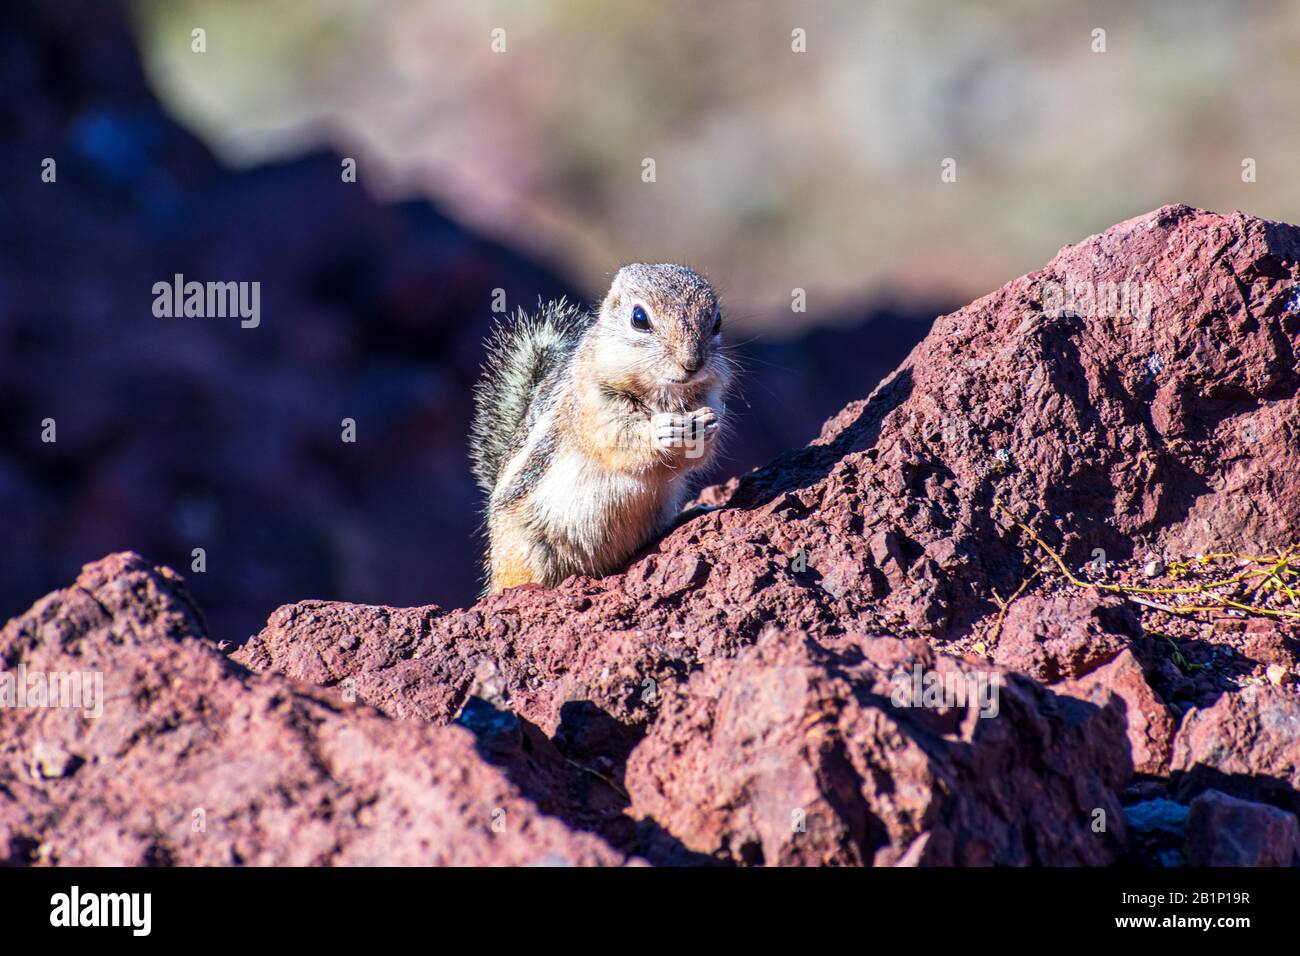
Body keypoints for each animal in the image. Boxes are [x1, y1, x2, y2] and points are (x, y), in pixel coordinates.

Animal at [469, 263, 733, 594]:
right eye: (639, 318)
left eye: (718, 321)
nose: (692, 363)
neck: (662, 395)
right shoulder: (591, 410)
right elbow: (615, 442)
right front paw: (665, 430)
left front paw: (706, 426)